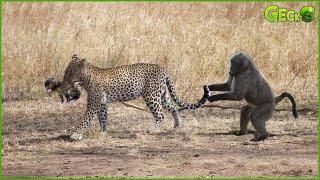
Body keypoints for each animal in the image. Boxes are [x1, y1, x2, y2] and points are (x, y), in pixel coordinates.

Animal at [61, 54, 209, 141]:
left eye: (70, 72)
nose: (63, 81)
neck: (86, 79)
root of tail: (164, 69)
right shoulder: (102, 103)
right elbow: (103, 118)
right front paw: (103, 133)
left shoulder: (94, 103)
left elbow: (85, 119)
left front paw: (76, 134)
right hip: (162, 95)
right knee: (172, 107)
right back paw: (178, 124)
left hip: (151, 95)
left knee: (160, 114)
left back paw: (153, 130)